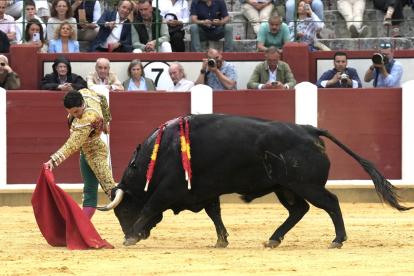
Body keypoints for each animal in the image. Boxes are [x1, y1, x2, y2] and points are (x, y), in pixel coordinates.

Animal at [98, 113, 410, 249]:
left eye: (122, 211)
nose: (137, 234)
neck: (161, 152)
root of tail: (310, 129)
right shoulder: (204, 191)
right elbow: (215, 214)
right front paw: (221, 241)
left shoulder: (169, 188)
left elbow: (150, 207)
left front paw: (130, 237)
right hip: (286, 188)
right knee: (299, 210)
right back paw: (273, 239)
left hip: (306, 185)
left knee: (331, 203)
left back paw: (337, 240)